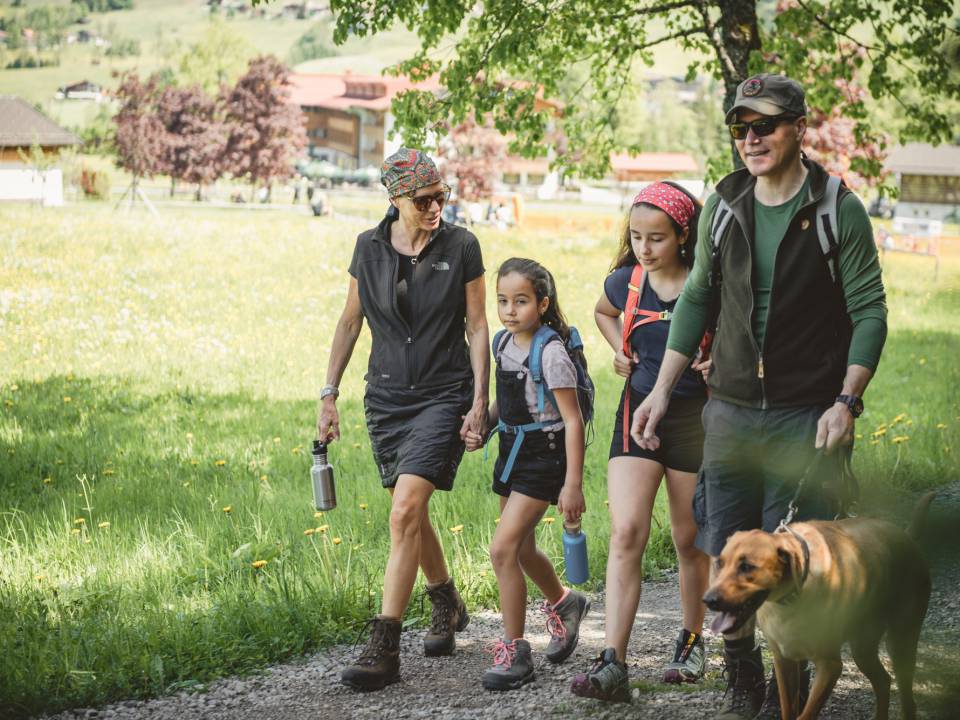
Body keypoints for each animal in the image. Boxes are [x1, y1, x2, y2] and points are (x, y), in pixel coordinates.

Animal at [704, 496, 928, 720]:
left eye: (747, 567)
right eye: (720, 563)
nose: (708, 600)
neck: (790, 600)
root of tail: (906, 536)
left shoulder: (829, 666)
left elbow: (806, 714)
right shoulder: (784, 661)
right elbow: (788, 709)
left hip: (901, 643)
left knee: (907, 697)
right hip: (863, 649)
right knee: (883, 681)